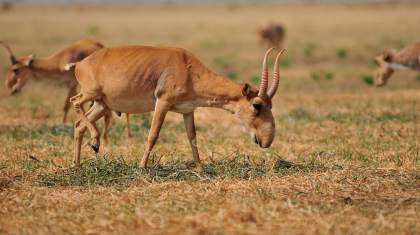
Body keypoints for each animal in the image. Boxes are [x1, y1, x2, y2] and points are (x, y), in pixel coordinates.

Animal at [0, 37, 131, 142]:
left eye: (16, 69)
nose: (10, 89)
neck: (60, 60)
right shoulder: (68, 83)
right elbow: (80, 107)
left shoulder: (73, 82)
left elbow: (66, 105)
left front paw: (63, 125)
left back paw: (110, 137)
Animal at [68, 45, 286, 167]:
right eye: (257, 105)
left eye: (271, 104)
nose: (266, 140)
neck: (188, 67)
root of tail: (80, 63)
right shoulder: (162, 103)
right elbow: (153, 135)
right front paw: (142, 167)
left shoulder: (187, 110)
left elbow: (193, 138)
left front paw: (200, 167)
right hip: (91, 95)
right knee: (75, 102)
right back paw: (95, 142)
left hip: (102, 105)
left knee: (78, 125)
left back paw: (77, 164)